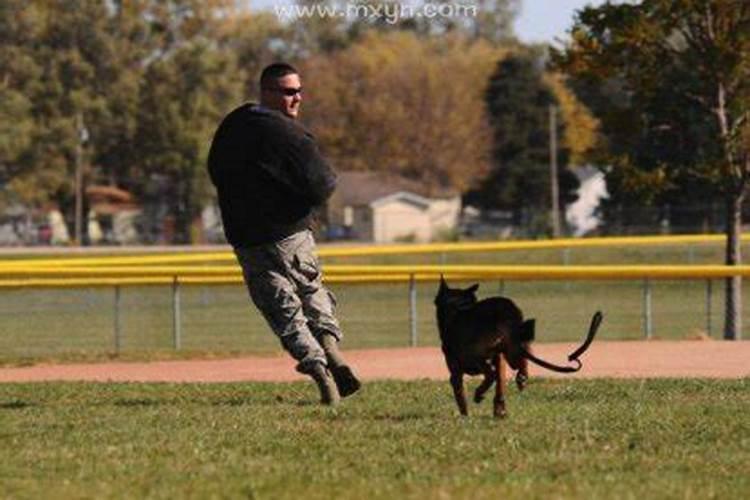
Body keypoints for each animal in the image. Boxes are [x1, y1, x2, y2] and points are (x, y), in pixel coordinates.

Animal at [434, 278, 604, 418]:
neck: (458, 309)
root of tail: (508, 315)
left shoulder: (456, 371)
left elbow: (461, 395)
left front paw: (465, 416)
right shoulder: (499, 359)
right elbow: (499, 386)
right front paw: (499, 410)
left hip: (482, 353)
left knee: (490, 372)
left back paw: (480, 393)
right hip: (514, 348)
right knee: (522, 359)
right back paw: (521, 378)